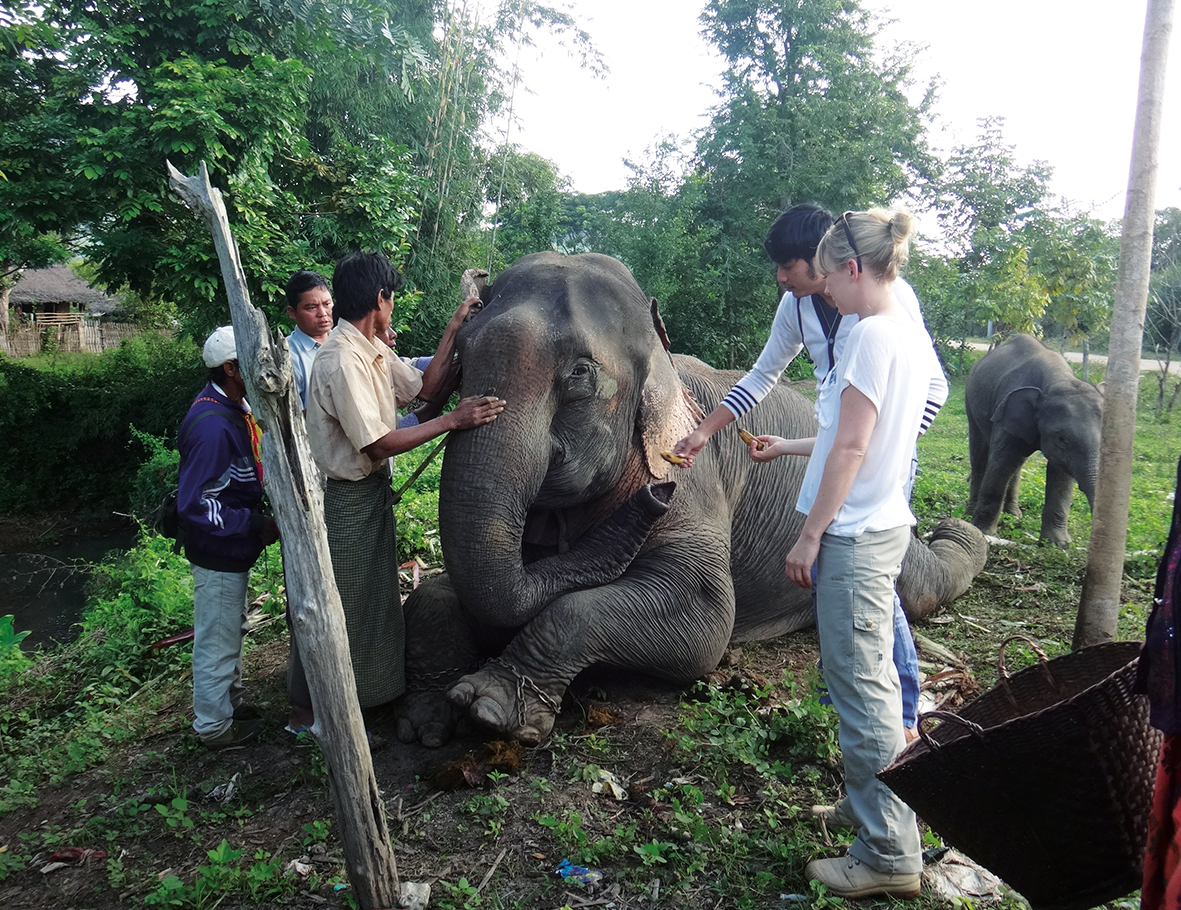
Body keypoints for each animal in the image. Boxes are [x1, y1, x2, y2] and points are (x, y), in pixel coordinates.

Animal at [396, 251, 987, 745]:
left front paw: (489, 708)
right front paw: (427, 721)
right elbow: (452, 592)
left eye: (579, 374)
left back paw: (962, 533)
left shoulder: (695, 479)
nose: (655, 496)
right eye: (460, 358)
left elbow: (704, 620)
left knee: (919, 587)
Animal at [963, 335, 1100, 545]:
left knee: (1017, 464)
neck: (1057, 378)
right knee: (980, 456)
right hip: (970, 402)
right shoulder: (1006, 410)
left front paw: (1057, 544)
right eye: (1061, 438)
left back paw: (1012, 514)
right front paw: (982, 531)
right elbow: (1001, 462)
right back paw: (971, 513)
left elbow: (1060, 474)